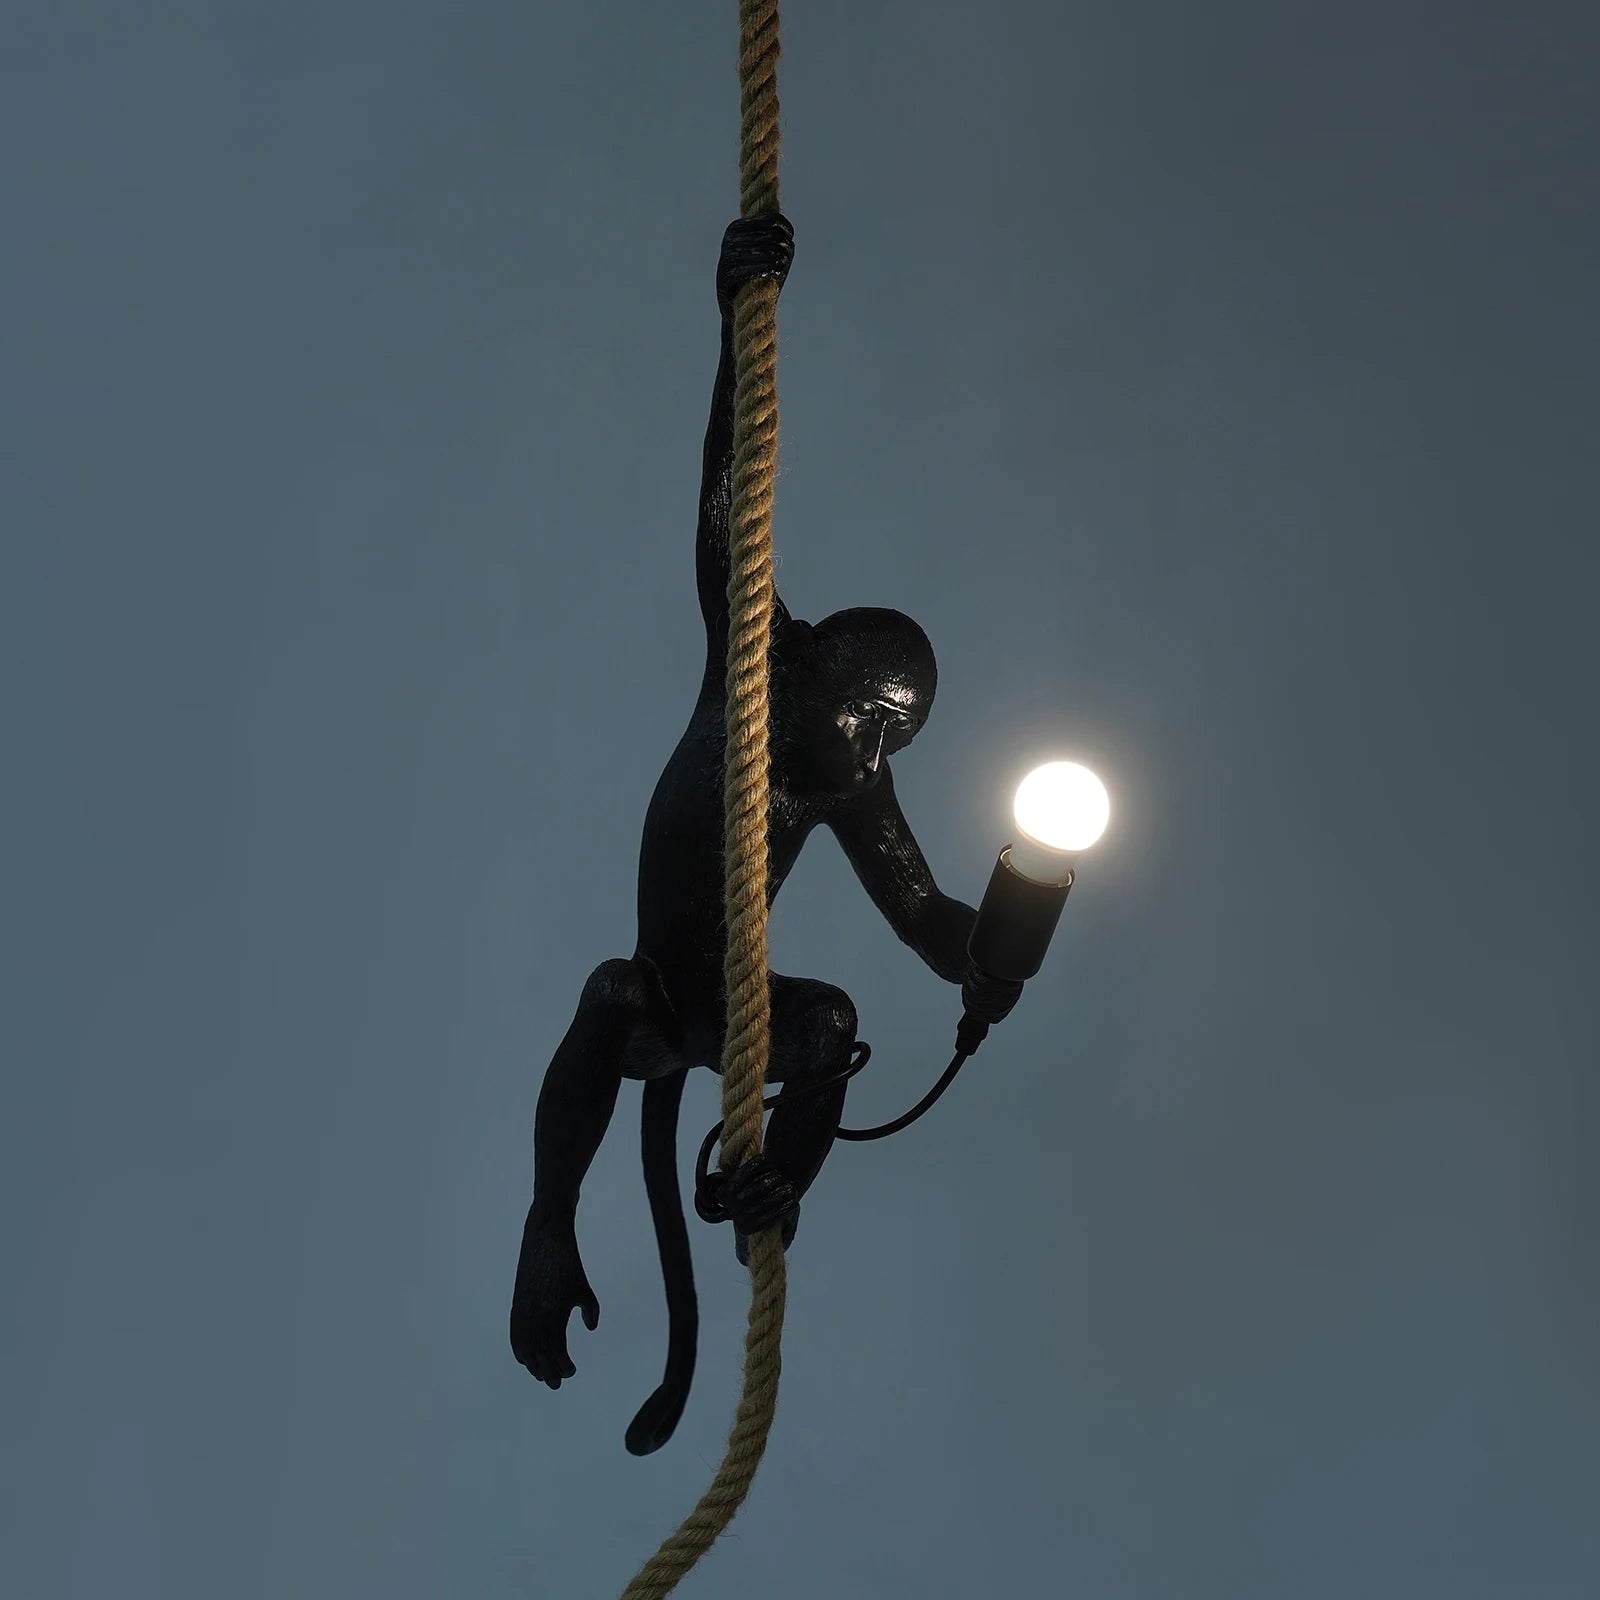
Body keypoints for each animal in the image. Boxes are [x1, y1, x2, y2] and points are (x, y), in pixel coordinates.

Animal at [509, 213, 1023, 1455]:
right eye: (880, 712)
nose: (882, 751)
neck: (788, 731)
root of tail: (699, 1051)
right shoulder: (746, 627)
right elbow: (721, 487)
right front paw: (743, 273)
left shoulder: (853, 794)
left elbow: (910, 909)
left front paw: (995, 954)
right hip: (664, 1018)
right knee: (611, 998)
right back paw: (548, 1256)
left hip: (729, 1031)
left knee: (828, 1020)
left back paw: (763, 1200)